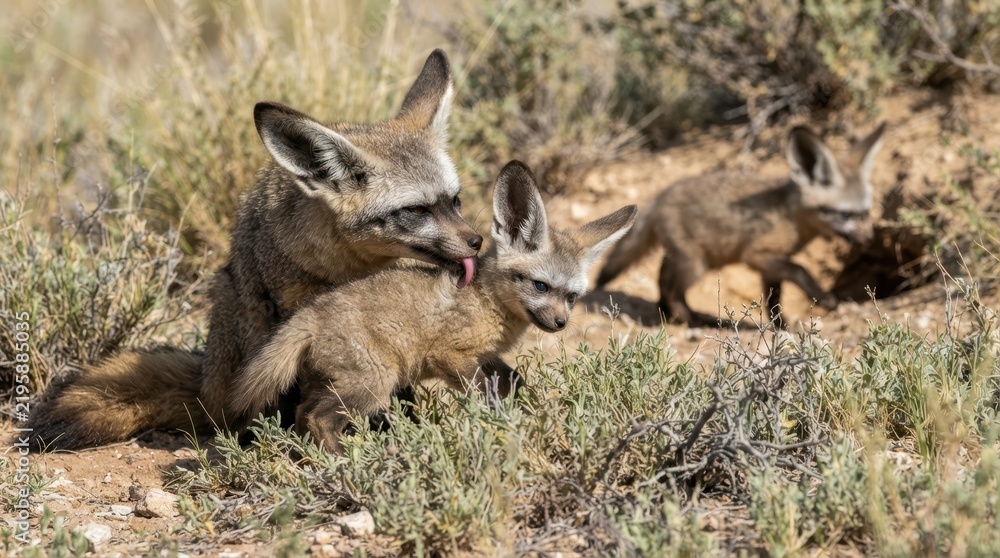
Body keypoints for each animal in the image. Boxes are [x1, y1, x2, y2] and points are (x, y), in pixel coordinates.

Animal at [27, 49, 485, 450]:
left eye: (455, 201)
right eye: (417, 210)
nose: (476, 242)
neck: (347, 267)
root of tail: (206, 381)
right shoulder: (299, 313)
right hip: (242, 315)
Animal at [229, 161, 637, 451]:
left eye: (572, 296)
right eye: (540, 285)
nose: (560, 323)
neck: (485, 302)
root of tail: (309, 315)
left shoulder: (486, 357)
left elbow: (514, 380)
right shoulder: (450, 356)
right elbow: (483, 394)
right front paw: (499, 422)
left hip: (336, 383)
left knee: (302, 415)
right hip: (375, 383)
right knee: (319, 420)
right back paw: (342, 463)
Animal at [596, 122, 887, 326]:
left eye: (866, 212)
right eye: (846, 215)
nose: (869, 240)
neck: (789, 217)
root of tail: (661, 195)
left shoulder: (770, 266)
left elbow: (774, 301)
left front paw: (780, 326)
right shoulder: (756, 256)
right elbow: (801, 270)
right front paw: (823, 297)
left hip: (687, 258)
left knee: (662, 278)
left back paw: (668, 314)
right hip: (695, 265)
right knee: (672, 289)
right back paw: (694, 321)